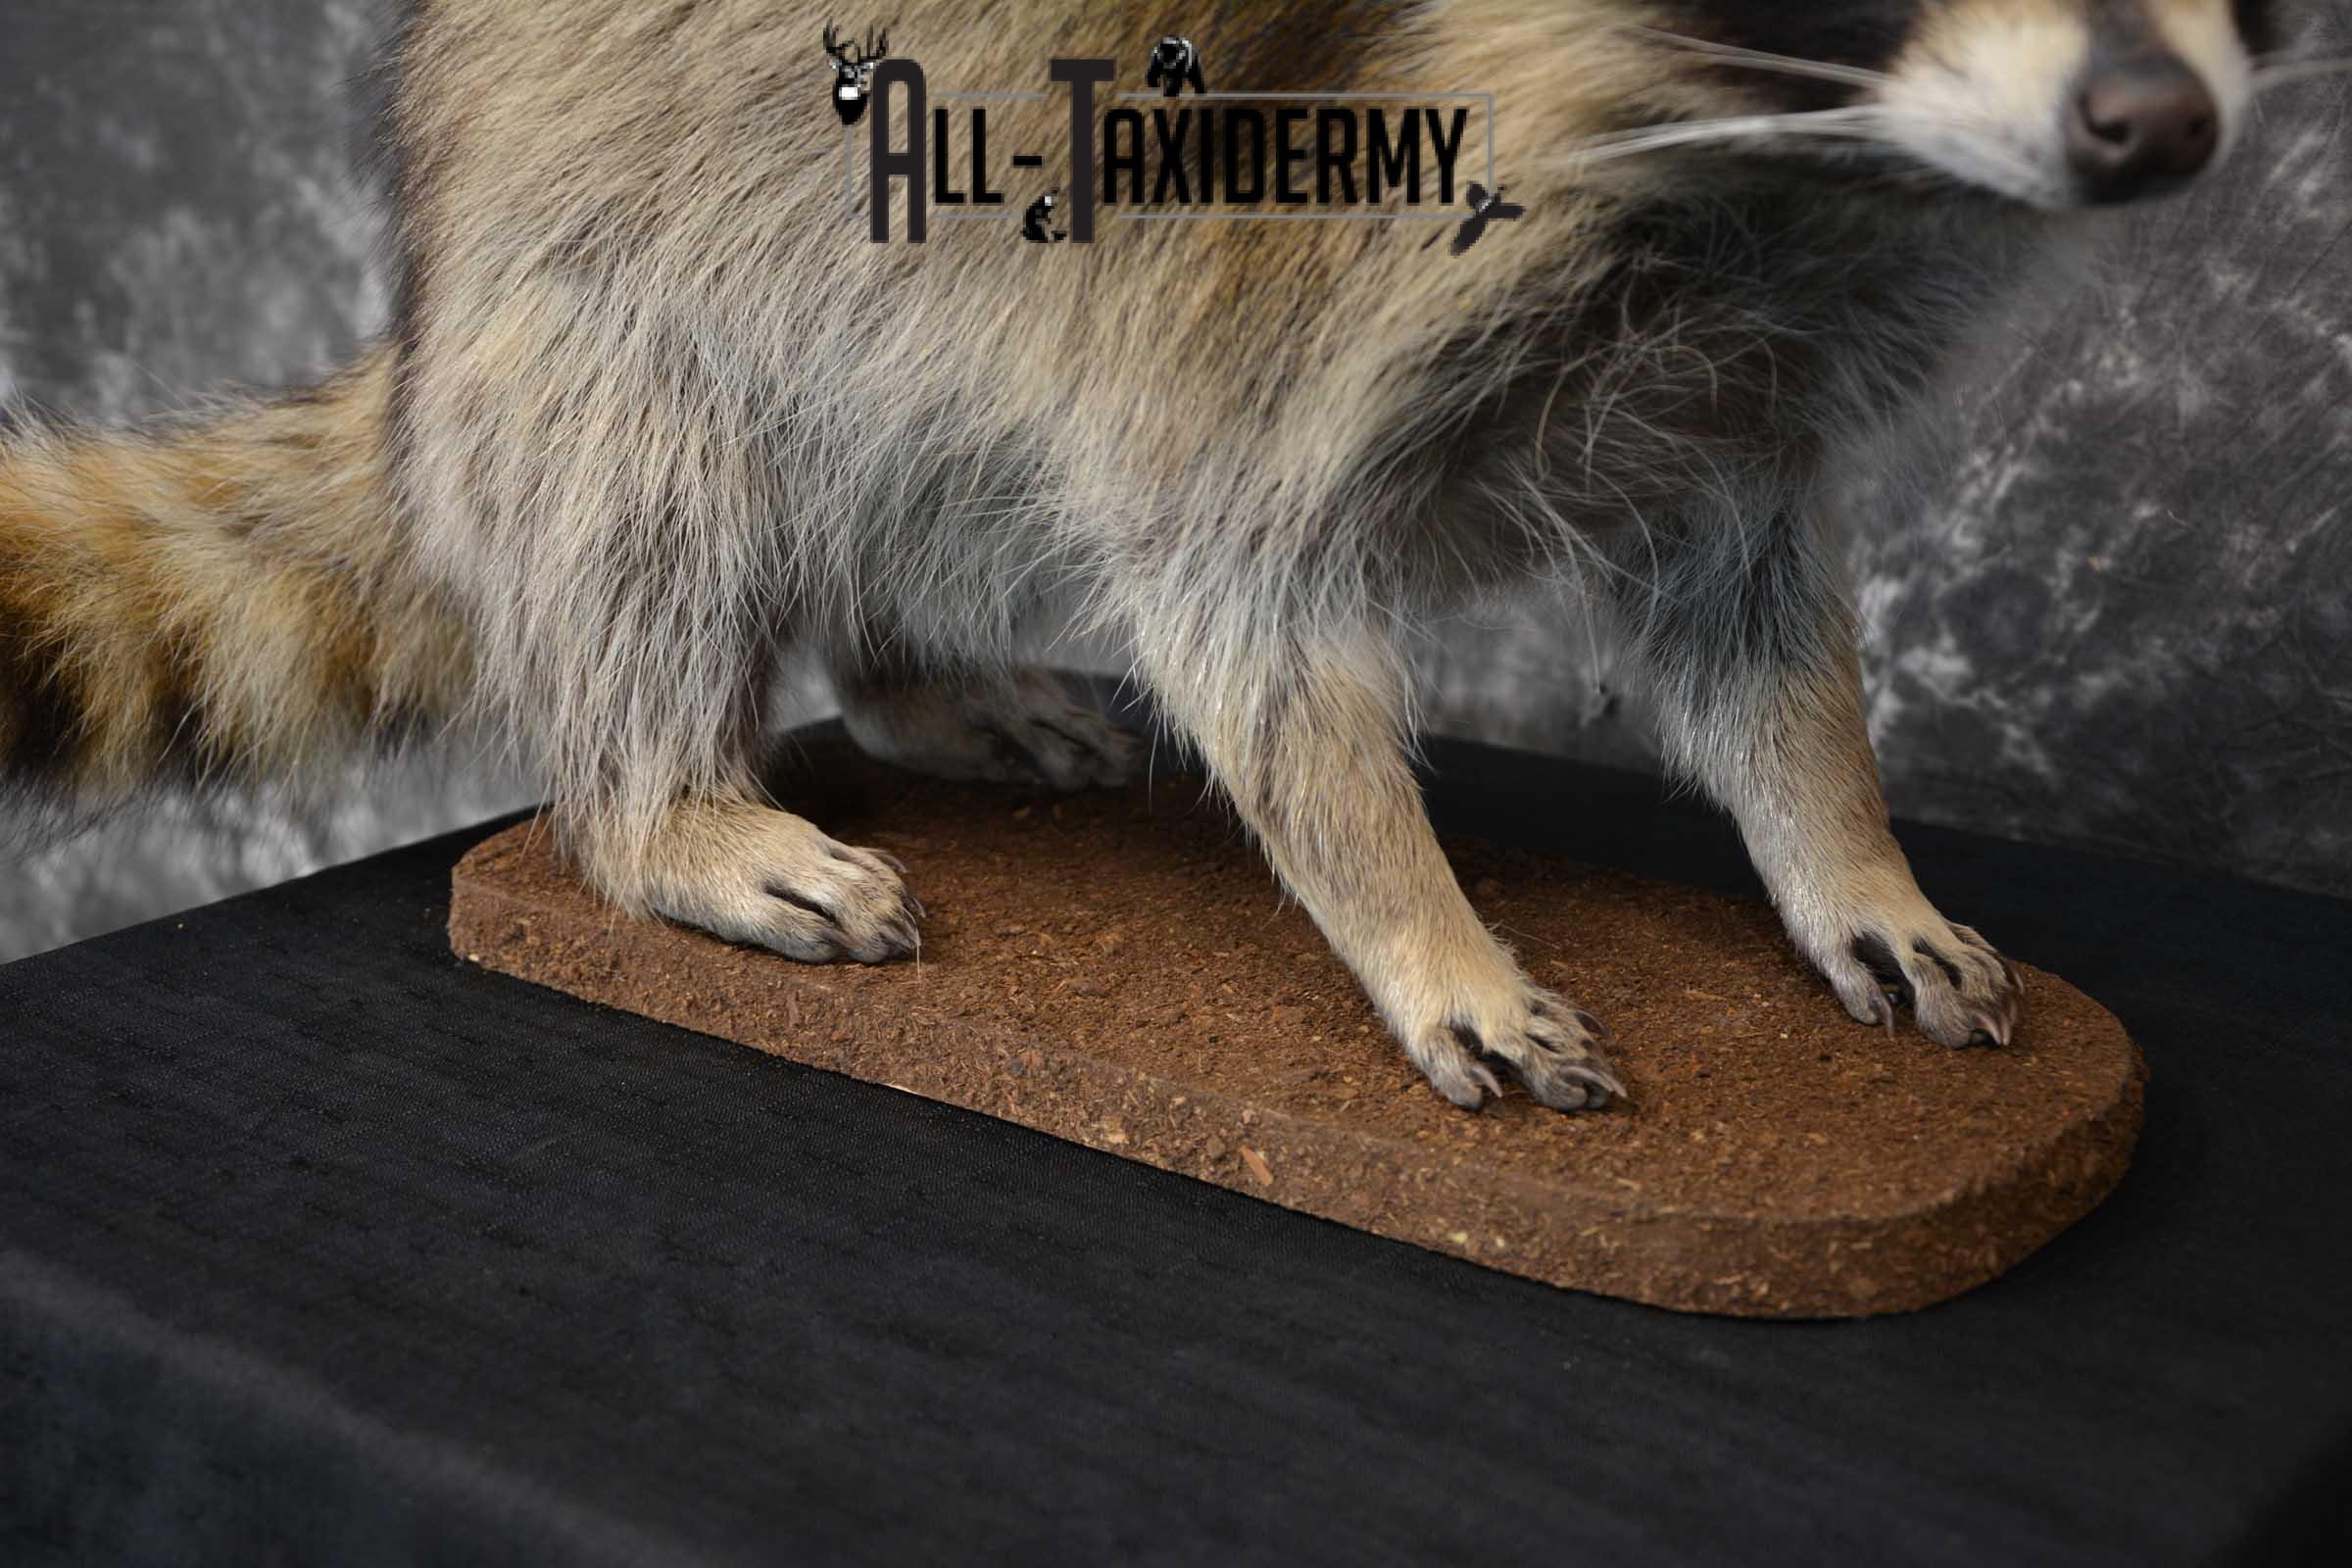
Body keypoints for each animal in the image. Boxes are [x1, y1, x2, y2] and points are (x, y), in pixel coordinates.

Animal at [0, 2, 2300, 1112]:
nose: (2157, 121)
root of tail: (430, 338)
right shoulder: (1275, 254)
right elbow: (1239, 601)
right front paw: (1414, 911)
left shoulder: (1736, 360)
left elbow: (1741, 605)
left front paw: (1844, 845)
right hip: (611, 262)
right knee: (657, 480)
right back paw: (667, 805)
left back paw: (908, 670)